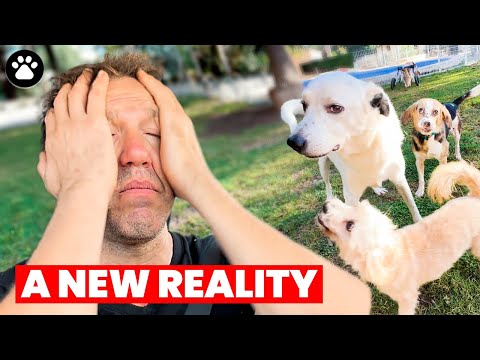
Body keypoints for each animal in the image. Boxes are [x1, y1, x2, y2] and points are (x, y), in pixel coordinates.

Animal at [282, 70, 420, 222]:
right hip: (323, 165)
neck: (366, 147)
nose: (293, 142)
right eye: (304, 105)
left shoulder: (400, 179)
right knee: (327, 184)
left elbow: (413, 207)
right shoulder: (351, 197)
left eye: (336, 108)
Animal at [316, 160, 480, 316]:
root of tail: (474, 196)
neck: (388, 255)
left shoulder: (408, 298)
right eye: (352, 207)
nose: (325, 206)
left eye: (350, 225)